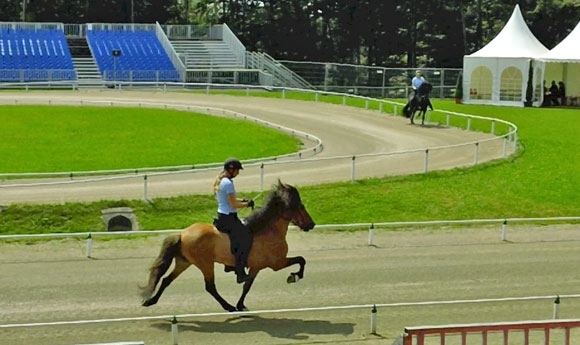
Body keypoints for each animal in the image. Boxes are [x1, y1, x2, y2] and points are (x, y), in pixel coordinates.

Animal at [141, 180, 318, 312]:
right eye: (300, 206)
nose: (311, 224)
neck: (268, 229)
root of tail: (182, 234)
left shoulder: (256, 267)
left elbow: (247, 286)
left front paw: (241, 304)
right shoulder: (276, 263)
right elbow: (301, 260)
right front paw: (294, 276)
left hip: (185, 262)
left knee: (166, 280)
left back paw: (150, 301)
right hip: (205, 264)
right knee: (210, 287)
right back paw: (229, 306)